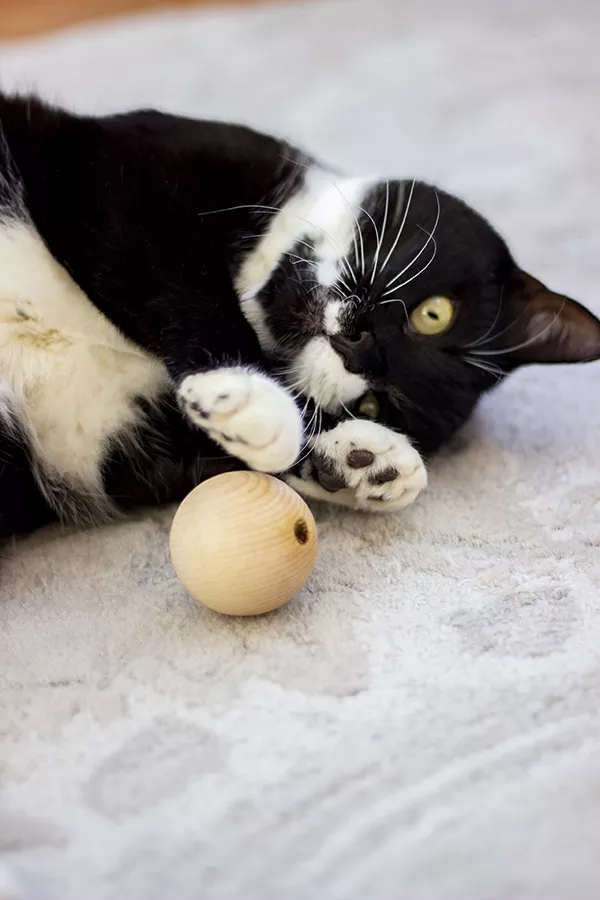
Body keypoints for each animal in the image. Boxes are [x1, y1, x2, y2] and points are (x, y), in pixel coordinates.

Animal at [1, 94, 600, 536]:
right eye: (435, 314)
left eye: (373, 402)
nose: (363, 351)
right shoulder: (115, 168)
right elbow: (164, 268)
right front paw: (246, 392)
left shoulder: (102, 448)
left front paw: (363, 462)